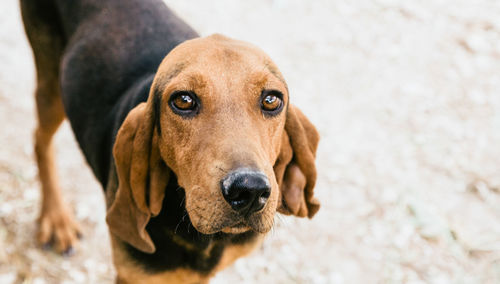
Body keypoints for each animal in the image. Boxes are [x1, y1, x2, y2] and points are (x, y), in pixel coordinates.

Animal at [20, 0, 320, 282]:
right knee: (39, 139)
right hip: (52, 82)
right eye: (183, 100)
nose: (249, 190)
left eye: (271, 100)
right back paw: (55, 218)